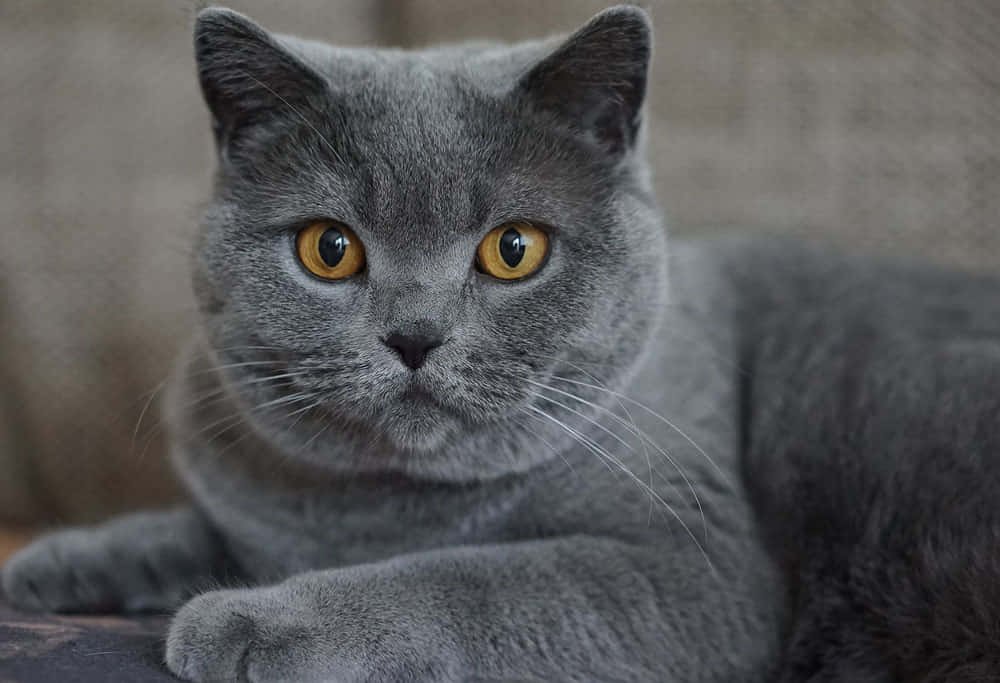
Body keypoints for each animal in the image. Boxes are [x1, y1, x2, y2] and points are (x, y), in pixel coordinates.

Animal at [3, 5, 996, 683]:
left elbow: (465, 578)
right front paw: (55, 563)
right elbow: (195, 524)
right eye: (330, 249)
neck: (380, 511)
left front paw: (255, 621)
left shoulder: (692, 569)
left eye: (513, 249)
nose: (414, 334)